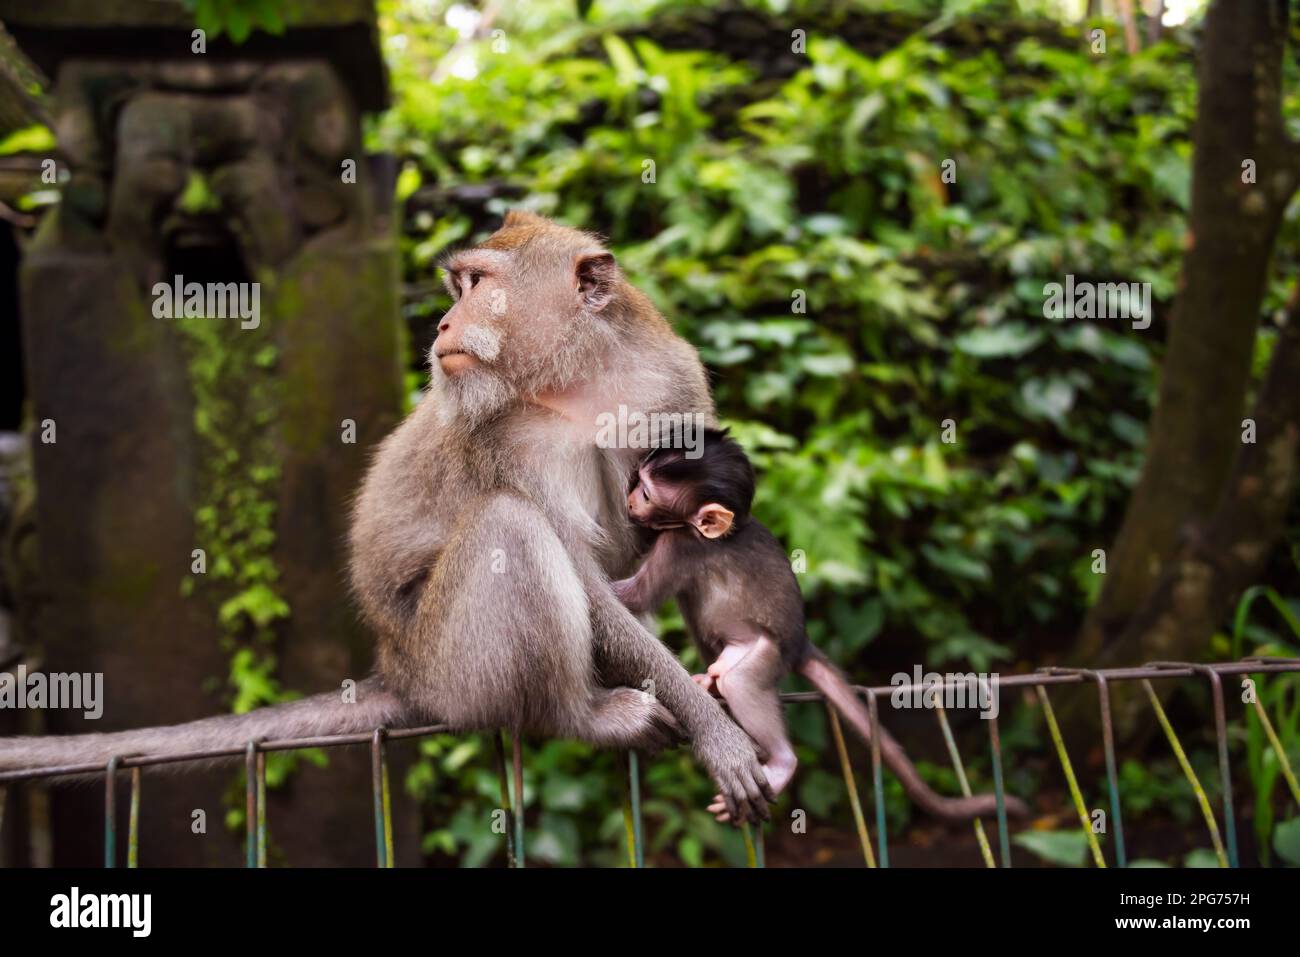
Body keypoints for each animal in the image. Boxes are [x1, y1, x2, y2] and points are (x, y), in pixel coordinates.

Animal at [0, 212, 776, 824]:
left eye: (479, 285)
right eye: (458, 287)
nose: (443, 322)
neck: (574, 376)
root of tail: (396, 669)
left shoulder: (670, 383)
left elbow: (645, 552)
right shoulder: (501, 440)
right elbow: (583, 573)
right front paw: (717, 730)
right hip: (451, 666)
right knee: (509, 527)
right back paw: (580, 714)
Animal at [611, 428, 1028, 823]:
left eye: (646, 493)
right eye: (638, 484)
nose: (629, 502)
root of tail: (801, 642)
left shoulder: (681, 544)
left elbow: (634, 596)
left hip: (767, 651)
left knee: (741, 682)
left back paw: (782, 761)